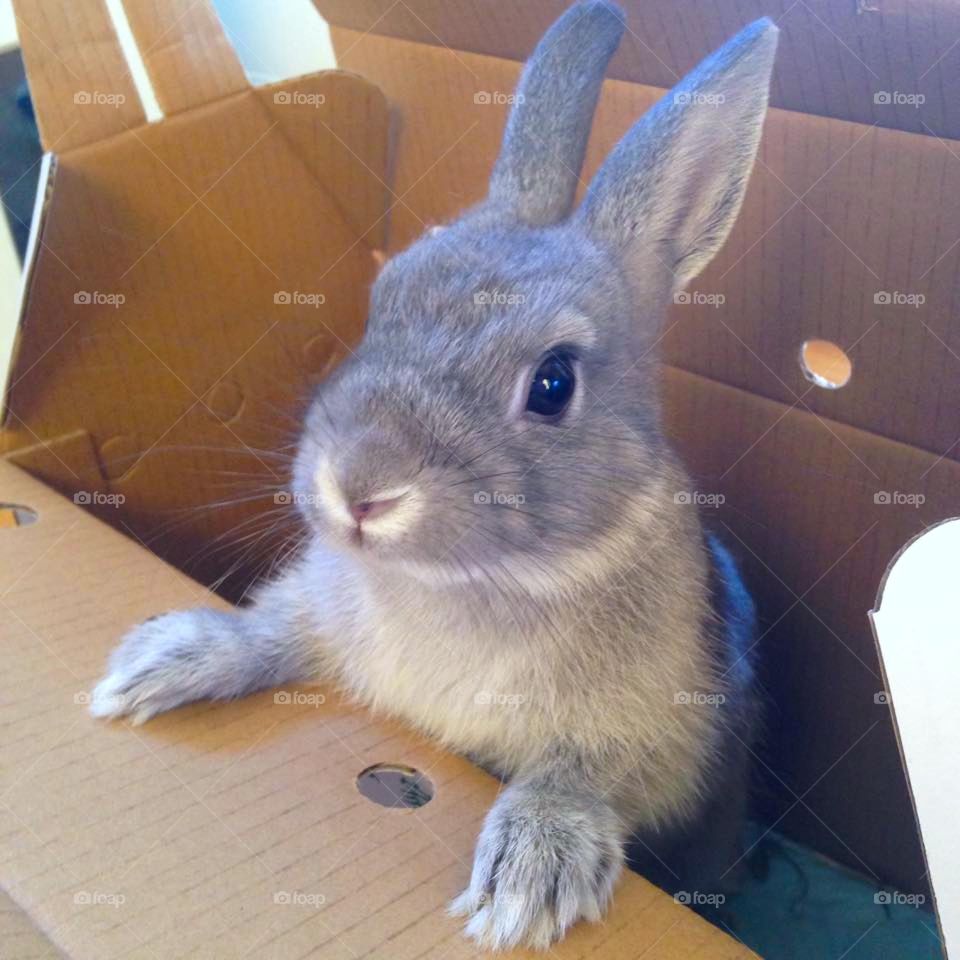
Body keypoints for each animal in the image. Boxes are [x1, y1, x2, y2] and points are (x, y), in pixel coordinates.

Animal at [90, 3, 780, 952]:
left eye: (553, 383)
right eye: (383, 300)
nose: (358, 486)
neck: (468, 580)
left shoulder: (648, 738)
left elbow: (577, 776)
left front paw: (526, 884)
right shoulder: (315, 614)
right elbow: (270, 633)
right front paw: (158, 662)